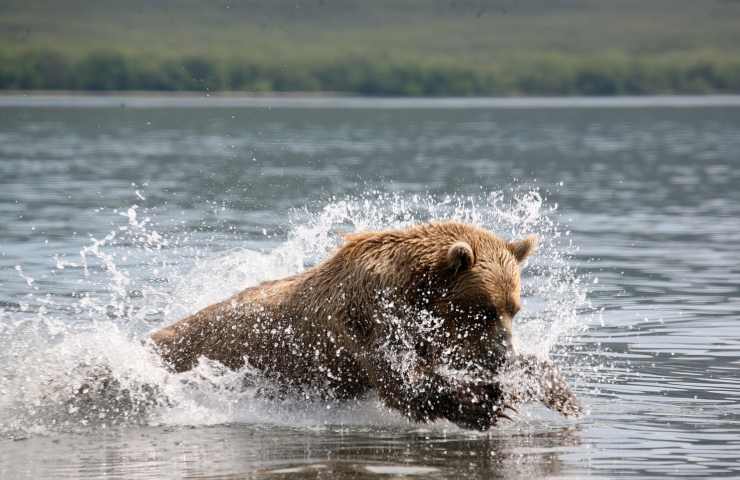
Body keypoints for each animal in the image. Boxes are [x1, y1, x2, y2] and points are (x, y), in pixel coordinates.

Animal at [150, 222, 580, 432]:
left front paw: (556, 390)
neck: (412, 290)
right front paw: (485, 404)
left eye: (514, 309)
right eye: (484, 311)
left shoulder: (433, 332)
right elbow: (401, 382)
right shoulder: (368, 317)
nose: (503, 352)